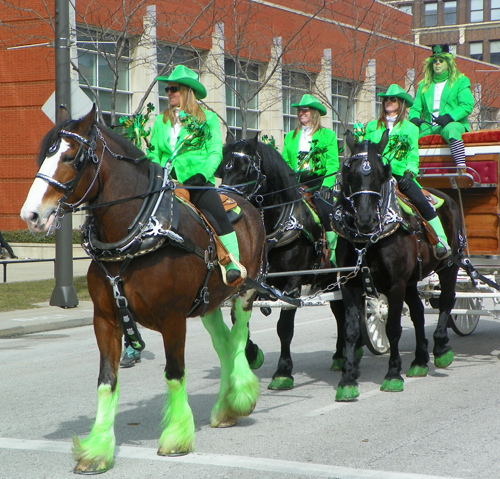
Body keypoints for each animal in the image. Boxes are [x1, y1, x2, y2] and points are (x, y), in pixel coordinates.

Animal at [21, 107, 268, 474]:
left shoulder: (173, 318)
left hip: (244, 293)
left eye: (70, 157)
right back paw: (226, 405)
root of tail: (246, 200)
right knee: (224, 344)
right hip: (208, 301)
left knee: (237, 341)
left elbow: (175, 374)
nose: (31, 215)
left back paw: (238, 397)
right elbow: (106, 382)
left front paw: (176, 436)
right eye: (43, 156)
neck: (139, 232)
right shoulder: (106, 319)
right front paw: (97, 449)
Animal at [219, 135, 348, 390]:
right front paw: (252, 354)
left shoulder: (292, 284)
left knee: (343, 313)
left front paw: (283, 372)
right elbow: (239, 320)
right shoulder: (251, 283)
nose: (224, 203)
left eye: (248, 169)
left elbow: (284, 328)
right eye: (224, 168)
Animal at [334, 130, 462, 402]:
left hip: (448, 266)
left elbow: (393, 327)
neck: (367, 241)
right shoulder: (350, 285)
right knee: (418, 312)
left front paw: (393, 374)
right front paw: (347, 379)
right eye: (349, 172)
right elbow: (351, 331)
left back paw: (441, 347)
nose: (365, 219)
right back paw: (420, 360)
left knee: (447, 300)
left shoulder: (395, 285)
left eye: (381, 172)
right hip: (412, 281)